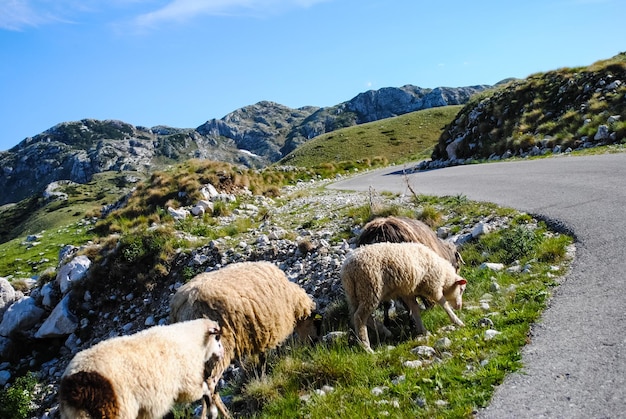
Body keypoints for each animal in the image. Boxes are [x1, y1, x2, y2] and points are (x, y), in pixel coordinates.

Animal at [56, 320, 222, 418]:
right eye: (217, 337)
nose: (222, 353)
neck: (191, 339)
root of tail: (73, 387)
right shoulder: (187, 383)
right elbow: (206, 390)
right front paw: (212, 412)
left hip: (76, 415)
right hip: (116, 410)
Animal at [338, 243, 466, 354]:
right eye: (461, 289)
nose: (459, 306)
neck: (444, 276)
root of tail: (347, 268)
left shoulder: (408, 293)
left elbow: (415, 310)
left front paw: (423, 331)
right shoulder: (432, 285)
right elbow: (443, 303)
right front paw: (457, 321)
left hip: (354, 295)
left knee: (359, 316)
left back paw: (385, 332)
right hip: (370, 289)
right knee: (359, 317)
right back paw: (367, 348)